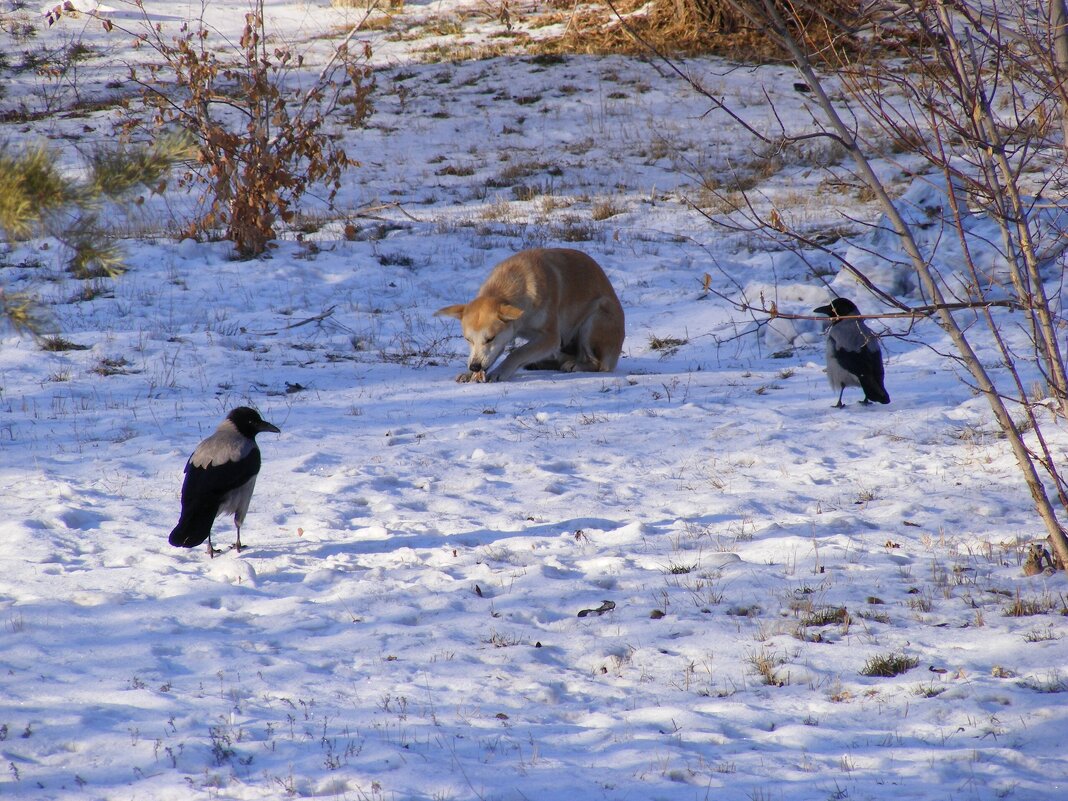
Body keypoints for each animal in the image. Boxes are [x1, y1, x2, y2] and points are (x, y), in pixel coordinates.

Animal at [435, 249, 623, 384]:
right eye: (468, 340)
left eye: (489, 339)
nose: (474, 366)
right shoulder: (505, 337)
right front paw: (470, 373)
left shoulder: (550, 338)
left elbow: (517, 353)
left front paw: (500, 371)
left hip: (594, 318)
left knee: (597, 363)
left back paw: (575, 365)